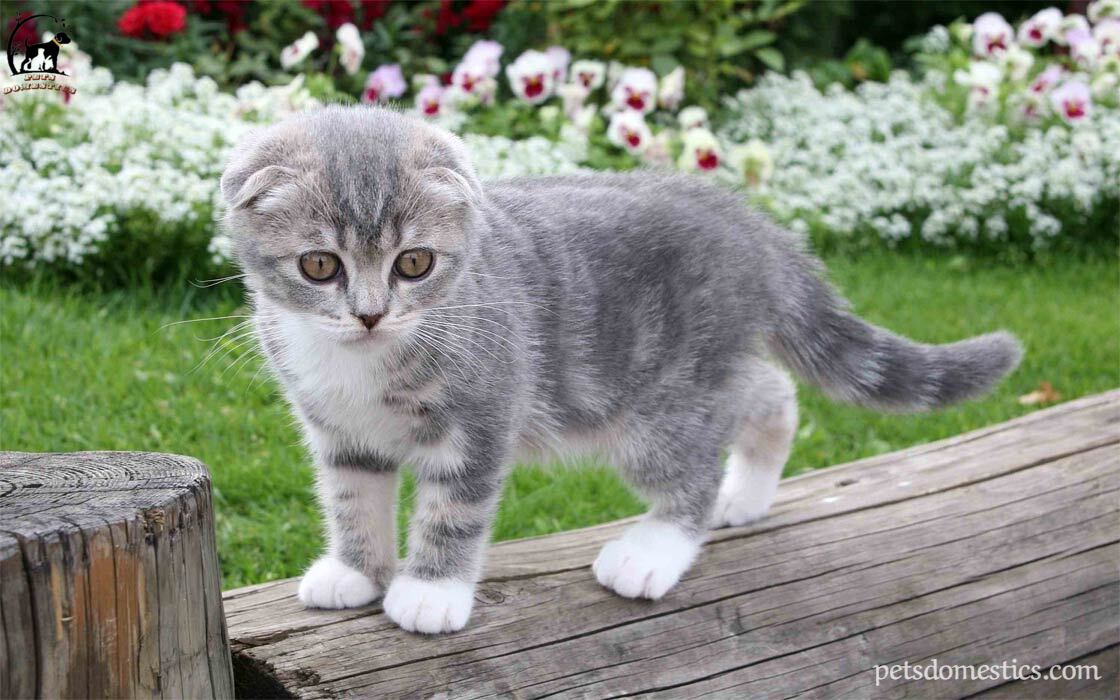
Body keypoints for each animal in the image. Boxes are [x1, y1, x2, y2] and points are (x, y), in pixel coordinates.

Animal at [218, 106, 1025, 636]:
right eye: (319, 266)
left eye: (413, 263)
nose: (369, 314)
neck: (362, 361)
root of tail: (745, 221)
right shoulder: (339, 430)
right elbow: (352, 495)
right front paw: (355, 568)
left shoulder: (483, 412)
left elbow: (454, 507)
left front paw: (429, 591)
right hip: (702, 375)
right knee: (771, 391)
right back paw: (747, 495)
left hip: (665, 404)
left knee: (698, 460)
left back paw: (657, 547)